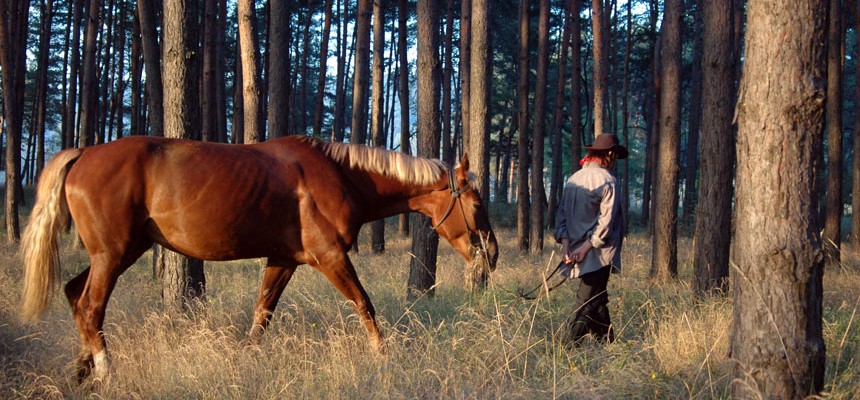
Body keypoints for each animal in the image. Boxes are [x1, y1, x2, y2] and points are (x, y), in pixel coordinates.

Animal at [18, 137, 498, 382]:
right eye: (477, 204)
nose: (491, 254)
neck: (339, 175)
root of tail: (84, 153)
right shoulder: (330, 257)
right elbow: (365, 305)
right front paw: (383, 356)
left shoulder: (283, 259)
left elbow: (261, 314)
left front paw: (245, 359)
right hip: (113, 254)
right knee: (90, 306)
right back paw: (103, 371)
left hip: (120, 251)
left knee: (74, 295)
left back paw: (82, 368)